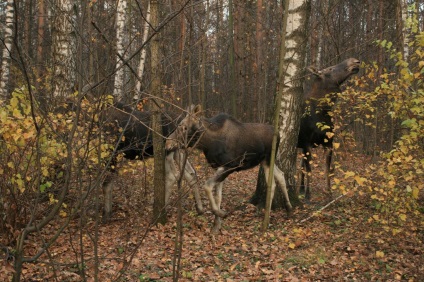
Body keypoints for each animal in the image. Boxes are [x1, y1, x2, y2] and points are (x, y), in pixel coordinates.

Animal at [166, 104, 292, 232]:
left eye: (185, 127)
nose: (167, 144)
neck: (208, 143)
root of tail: (278, 134)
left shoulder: (231, 165)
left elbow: (207, 185)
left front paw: (220, 213)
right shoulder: (219, 167)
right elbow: (218, 197)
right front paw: (216, 226)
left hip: (268, 159)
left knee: (272, 183)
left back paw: (266, 220)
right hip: (265, 161)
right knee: (281, 175)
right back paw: (289, 209)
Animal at [298, 57, 362, 200]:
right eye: (330, 69)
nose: (355, 61)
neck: (322, 112)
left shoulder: (329, 143)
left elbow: (328, 169)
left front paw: (329, 192)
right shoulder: (306, 143)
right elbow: (310, 169)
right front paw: (308, 194)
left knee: (301, 166)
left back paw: (301, 188)